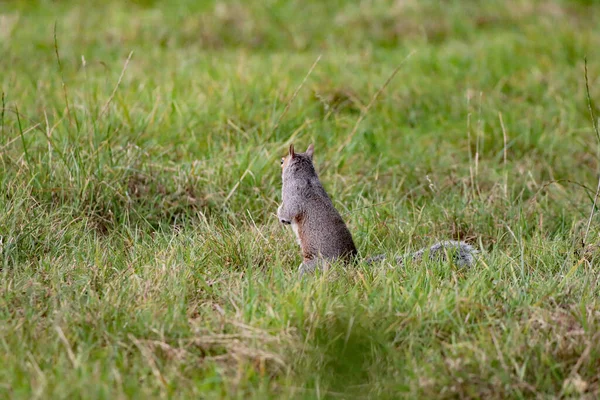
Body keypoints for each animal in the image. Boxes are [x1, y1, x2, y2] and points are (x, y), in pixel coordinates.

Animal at [278, 145, 480, 278]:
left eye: (282, 161)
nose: (278, 161)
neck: (305, 176)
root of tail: (351, 263)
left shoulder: (293, 196)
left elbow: (288, 212)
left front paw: (279, 214)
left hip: (314, 263)